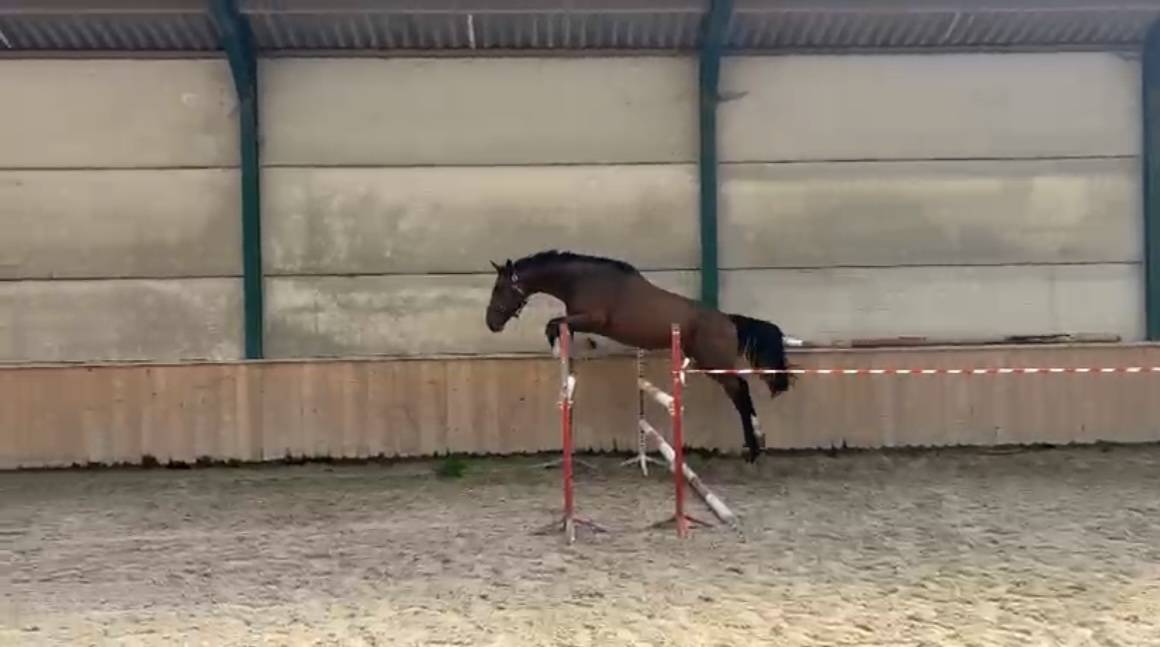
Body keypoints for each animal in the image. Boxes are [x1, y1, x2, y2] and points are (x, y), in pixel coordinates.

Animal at [484, 250, 796, 463]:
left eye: (500, 288)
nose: (491, 323)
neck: (581, 279)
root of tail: (729, 321)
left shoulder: (593, 318)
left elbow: (553, 323)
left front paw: (556, 347)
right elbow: (558, 324)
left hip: (714, 364)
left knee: (741, 391)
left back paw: (754, 449)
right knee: (740, 393)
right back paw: (755, 445)